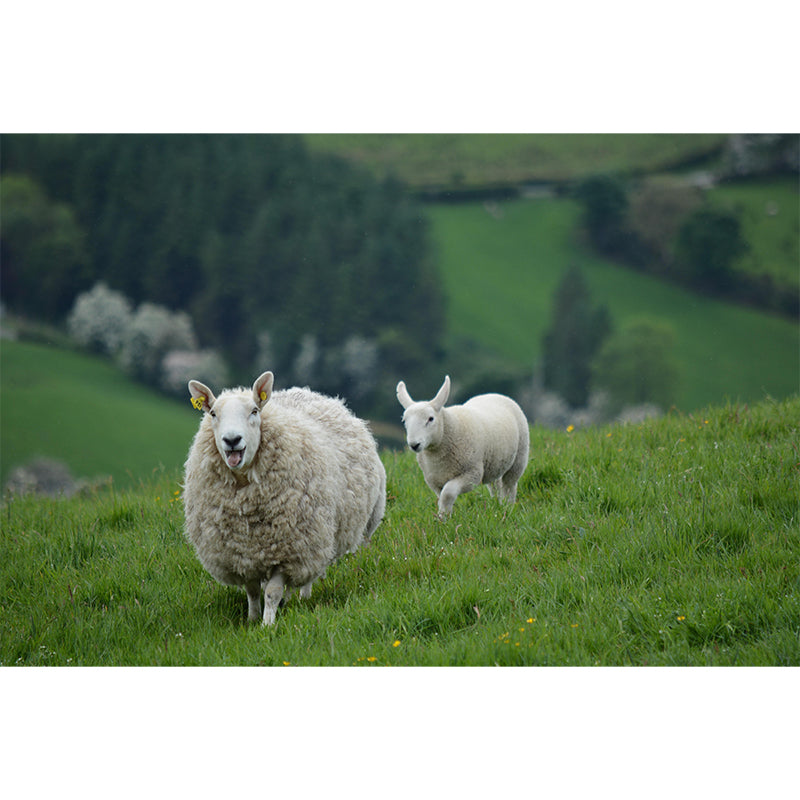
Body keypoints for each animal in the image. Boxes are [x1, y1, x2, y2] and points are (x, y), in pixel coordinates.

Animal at [183, 371, 386, 625]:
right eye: (213, 413)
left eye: (254, 411)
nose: (232, 440)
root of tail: (308, 392)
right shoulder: (241, 553)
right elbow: (252, 591)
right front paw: (252, 619)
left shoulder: (289, 549)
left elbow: (272, 591)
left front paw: (267, 625)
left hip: (320, 536)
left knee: (309, 573)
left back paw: (302, 598)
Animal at [396, 375, 529, 518]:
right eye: (404, 421)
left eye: (431, 419)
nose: (414, 445)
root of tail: (493, 394)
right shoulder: (434, 481)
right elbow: (442, 497)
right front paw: (444, 517)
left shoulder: (472, 473)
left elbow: (448, 493)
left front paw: (444, 517)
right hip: (494, 463)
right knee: (496, 484)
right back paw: (497, 505)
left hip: (519, 458)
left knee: (509, 485)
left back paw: (507, 507)